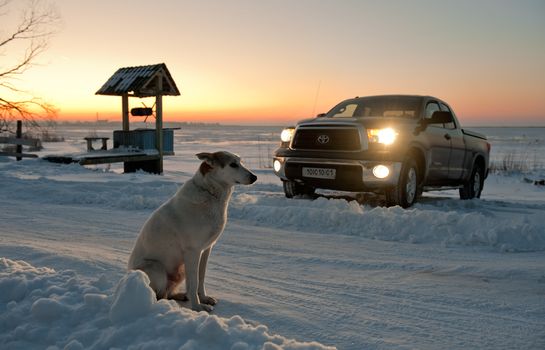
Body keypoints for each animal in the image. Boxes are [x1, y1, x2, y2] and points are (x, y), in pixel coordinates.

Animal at [127, 150, 258, 312]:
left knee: (169, 293)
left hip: (180, 270)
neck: (210, 193)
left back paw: (181, 296)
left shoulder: (206, 249)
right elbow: (194, 282)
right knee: (160, 295)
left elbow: (200, 278)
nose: (255, 177)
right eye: (233, 165)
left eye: (241, 162)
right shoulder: (193, 252)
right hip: (157, 268)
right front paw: (197, 307)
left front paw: (203, 298)